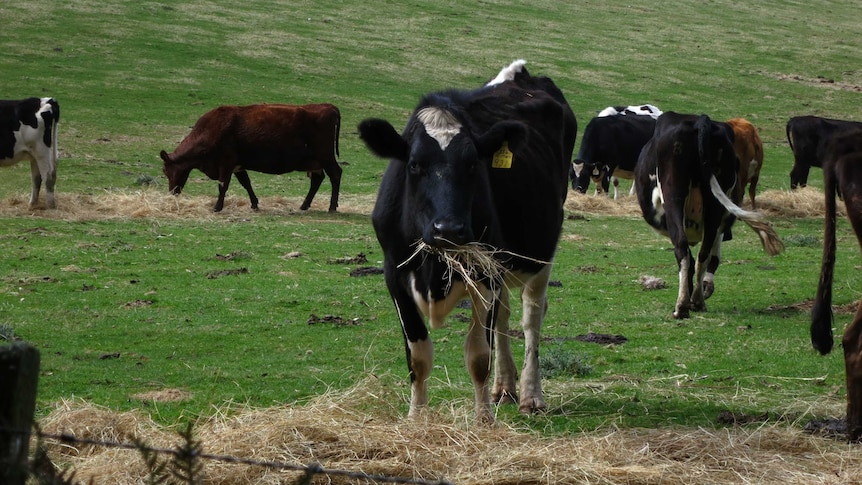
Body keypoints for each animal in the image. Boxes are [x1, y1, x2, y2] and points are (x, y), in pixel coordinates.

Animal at [160, 103, 342, 211]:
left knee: (335, 174)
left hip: (326, 157)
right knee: (317, 179)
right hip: (315, 162)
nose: (172, 193)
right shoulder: (238, 165)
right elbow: (246, 183)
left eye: (166, 171)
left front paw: (217, 207)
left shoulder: (226, 163)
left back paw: (332, 207)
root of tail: (327, 106)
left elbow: (222, 185)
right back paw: (304, 205)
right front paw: (254, 203)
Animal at [362, 60, 576, 422]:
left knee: (531, 317)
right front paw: (416, 419)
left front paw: (483, 420)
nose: (449, 229)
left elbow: (478, 355)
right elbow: (418, 356)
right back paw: (504, 387)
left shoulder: (486, 274)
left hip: (542, 251)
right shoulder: (395, 274)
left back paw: (531, 395)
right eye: (414, 165)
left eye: (474, 164)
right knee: (504, 317)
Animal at [636, 111, 788, 320]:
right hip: (714, 205)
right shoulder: (720, 226)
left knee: (682, 247)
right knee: (705, 252)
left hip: (673, 194)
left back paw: (682, 306)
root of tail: (700, 120)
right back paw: (697, 301)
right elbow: (711, 258)